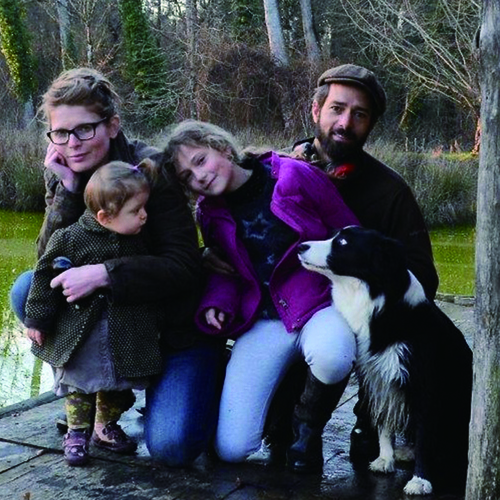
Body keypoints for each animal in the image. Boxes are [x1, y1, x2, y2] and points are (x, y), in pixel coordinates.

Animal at [297, 226, 472, 495]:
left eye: (343, 242)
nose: (300, 247)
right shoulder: (377, 375)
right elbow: (385, 422)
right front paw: (385, 459)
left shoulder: (424, 383)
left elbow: (424, 435)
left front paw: (420, 481)